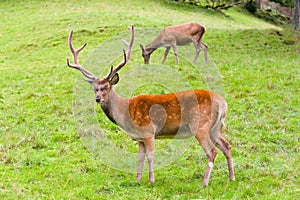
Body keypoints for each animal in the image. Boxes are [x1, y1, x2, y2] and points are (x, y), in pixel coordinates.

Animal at [65, 26, 234, 186]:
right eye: (95, 88)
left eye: (106, 86)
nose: (98, 98)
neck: (126, 114)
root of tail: (224, 104)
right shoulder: (139, 138)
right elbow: (140, 157)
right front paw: (138, 179)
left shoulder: (148, 131)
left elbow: (150, 156)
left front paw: (151, 180)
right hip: (215, 127)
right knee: (227, 146)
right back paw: (232, 178)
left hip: (200, 125)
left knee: (212, 152)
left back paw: (205, 183)